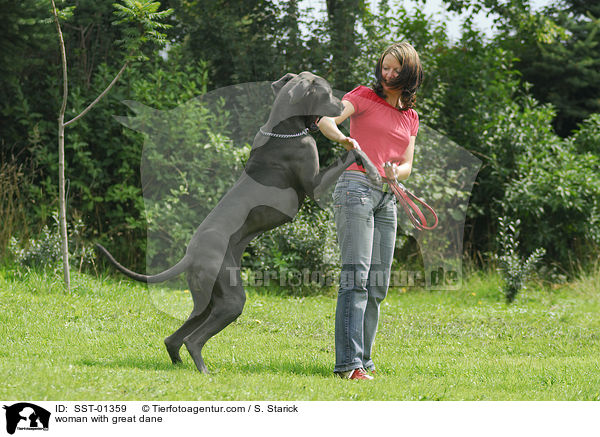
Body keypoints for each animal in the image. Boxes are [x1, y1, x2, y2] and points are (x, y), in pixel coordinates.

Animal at [97, 71, 380, 372]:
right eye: (327, 93)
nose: (342, 106)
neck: (284, 128)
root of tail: (190, 254)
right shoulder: (314, 184)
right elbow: (351, 151)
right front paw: (374, 170)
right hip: (230, 298)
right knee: (193, 339)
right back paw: (204, 371)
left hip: (209, 298)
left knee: (174, 337)